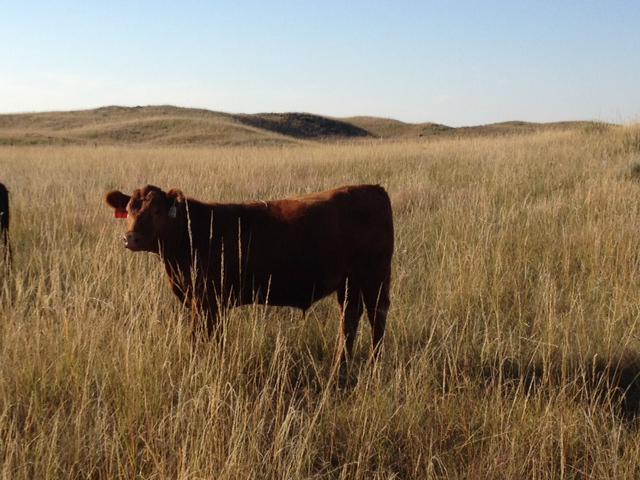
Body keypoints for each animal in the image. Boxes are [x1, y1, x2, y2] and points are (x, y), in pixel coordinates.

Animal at [104, 184, 393, 365]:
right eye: (128, 210)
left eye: (156, 210)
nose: (130, 238)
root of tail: (373, 188)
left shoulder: (208, 300)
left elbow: (201, 337)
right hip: (350, 281)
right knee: (350, 318)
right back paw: (340, 367)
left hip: (374, 275)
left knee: (376, 317)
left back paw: (373, 365)